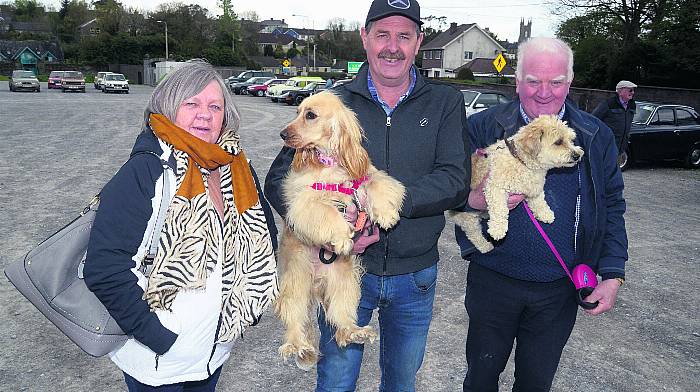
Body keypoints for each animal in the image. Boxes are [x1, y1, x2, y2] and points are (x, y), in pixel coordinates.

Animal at [274, 91, 404, 370]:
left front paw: (386, 214)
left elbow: (378, 184)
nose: (282, 134)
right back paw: (297, 346)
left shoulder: (365, 176)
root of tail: (317, 283)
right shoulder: (306, 200)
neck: (330, 161)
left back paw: (356, 332)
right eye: (297, 112)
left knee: (341, 322)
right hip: (297, 282)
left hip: (346, 283)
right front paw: (343, 238)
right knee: (294, 317)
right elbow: (329, 212)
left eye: (310, 115)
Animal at [452, 115, 584, 253]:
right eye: (558, 142)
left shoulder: (533, 189)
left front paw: (545, 213)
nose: (577, 155)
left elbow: (540, 202)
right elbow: (499, 209)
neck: (521, 161)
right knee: (473, 234)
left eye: (571, 140)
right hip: (468, 219)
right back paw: (484, 246)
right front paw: (497, 229)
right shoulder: (494, 187)